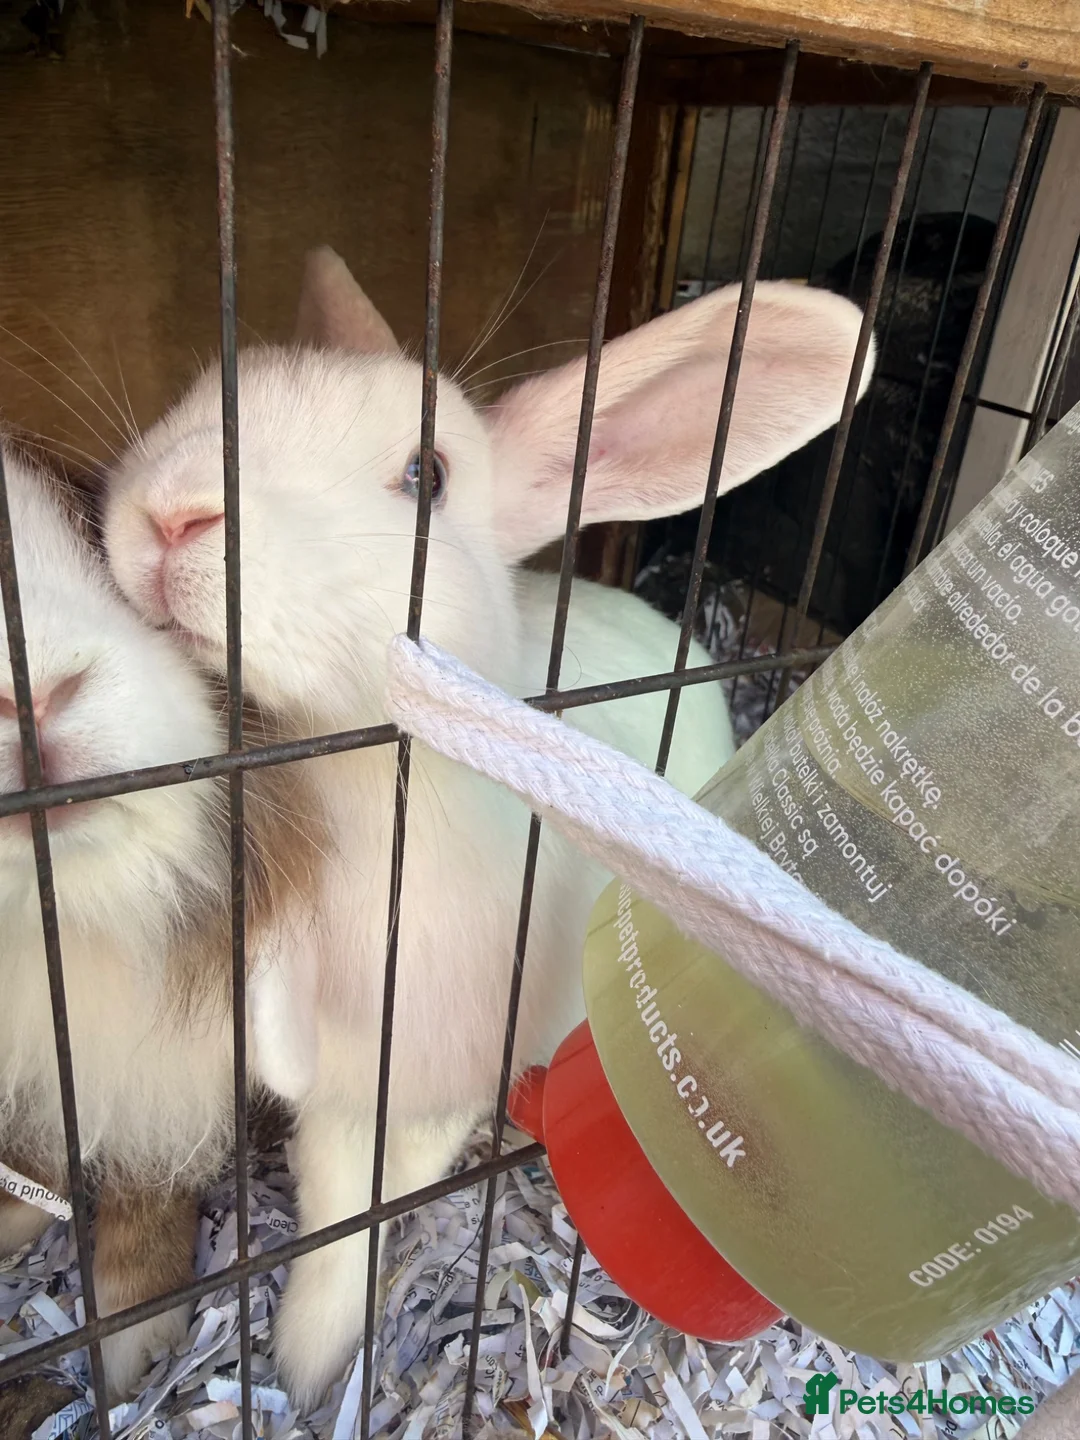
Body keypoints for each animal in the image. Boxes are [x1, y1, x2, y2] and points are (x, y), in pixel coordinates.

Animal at [101, 246, 871, 1405]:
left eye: (427, 476)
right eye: (204, 393)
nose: (169, 514)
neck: (365, 786)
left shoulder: (424, 1082)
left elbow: (364, 1208)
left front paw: (316, 1365)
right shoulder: (330, 1060)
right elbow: (329, 1195)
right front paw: (307, 1364)